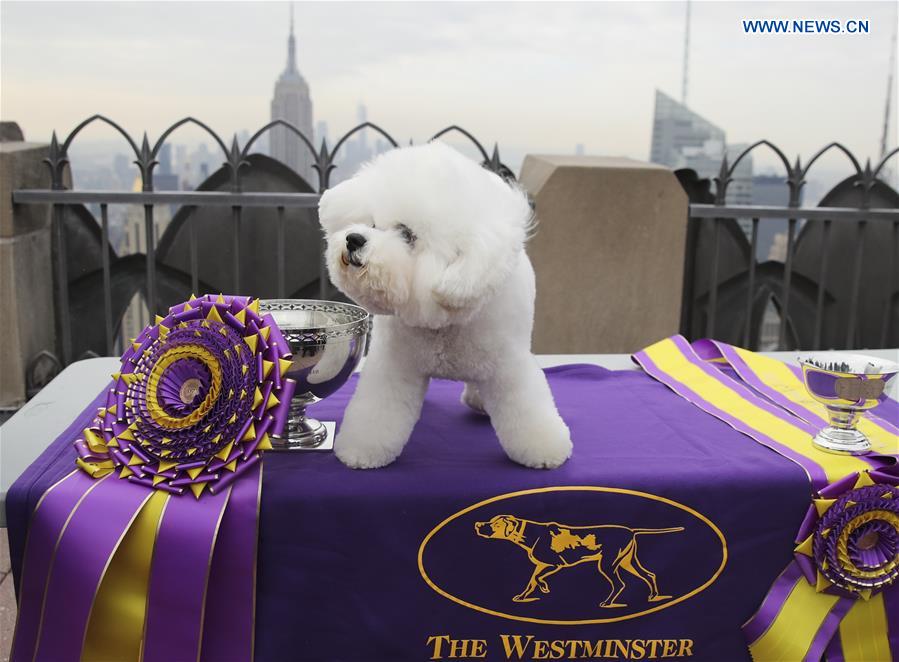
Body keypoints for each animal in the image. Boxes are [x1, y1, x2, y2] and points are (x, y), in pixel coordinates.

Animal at [318, 143, 568, 470]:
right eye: (371, 223)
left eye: (406, 233)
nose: (353, 239)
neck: (444, 323)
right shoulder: (394, 365)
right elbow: (378, 410)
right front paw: (362, 450)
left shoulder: (508, 365)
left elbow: (525, 407)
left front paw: (544, 449)